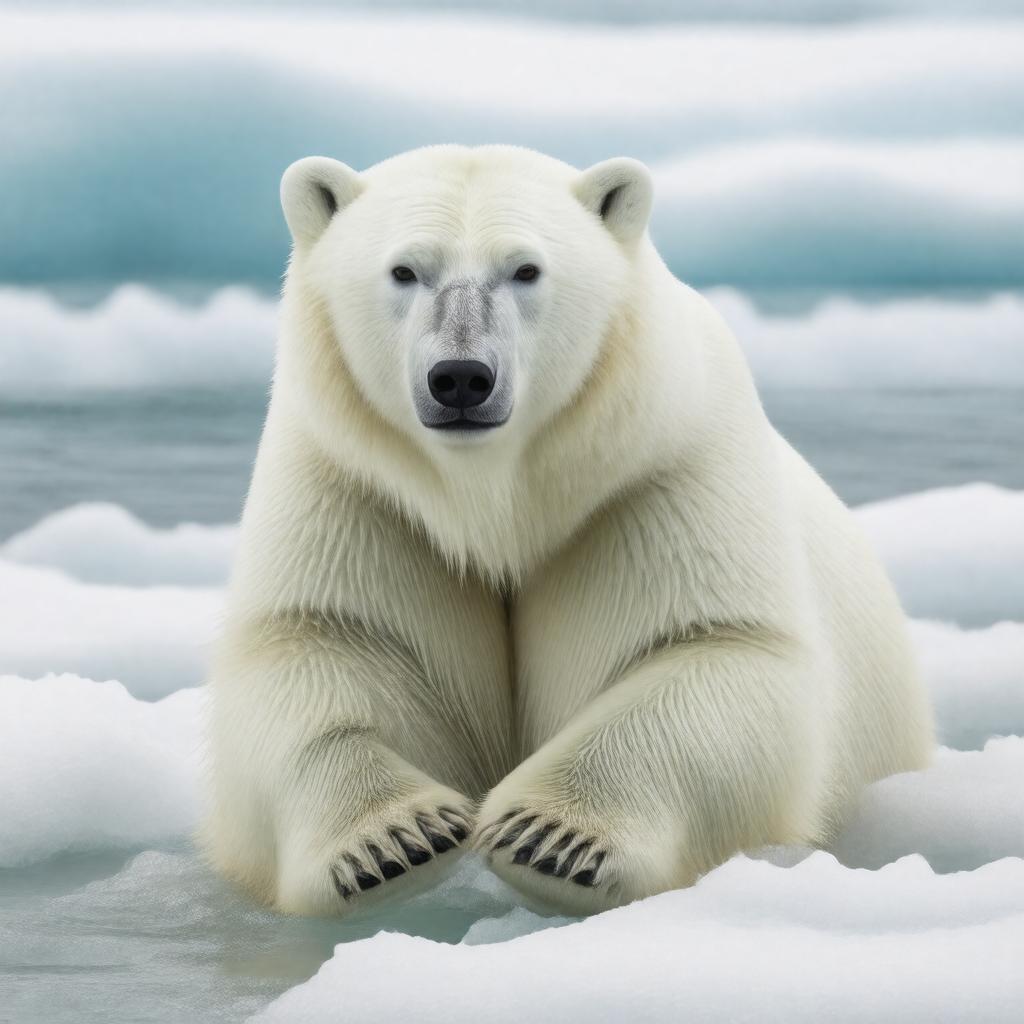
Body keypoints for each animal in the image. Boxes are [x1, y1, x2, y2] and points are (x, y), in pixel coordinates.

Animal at [203, 144, 934, 916]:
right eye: (405, 269)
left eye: (525, 268)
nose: (460, 378)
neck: (493, 497)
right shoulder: (357, 490)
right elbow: (314, 642)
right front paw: (394, 842)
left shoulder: (654, 479)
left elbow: (719, 647)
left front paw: (552, 839)